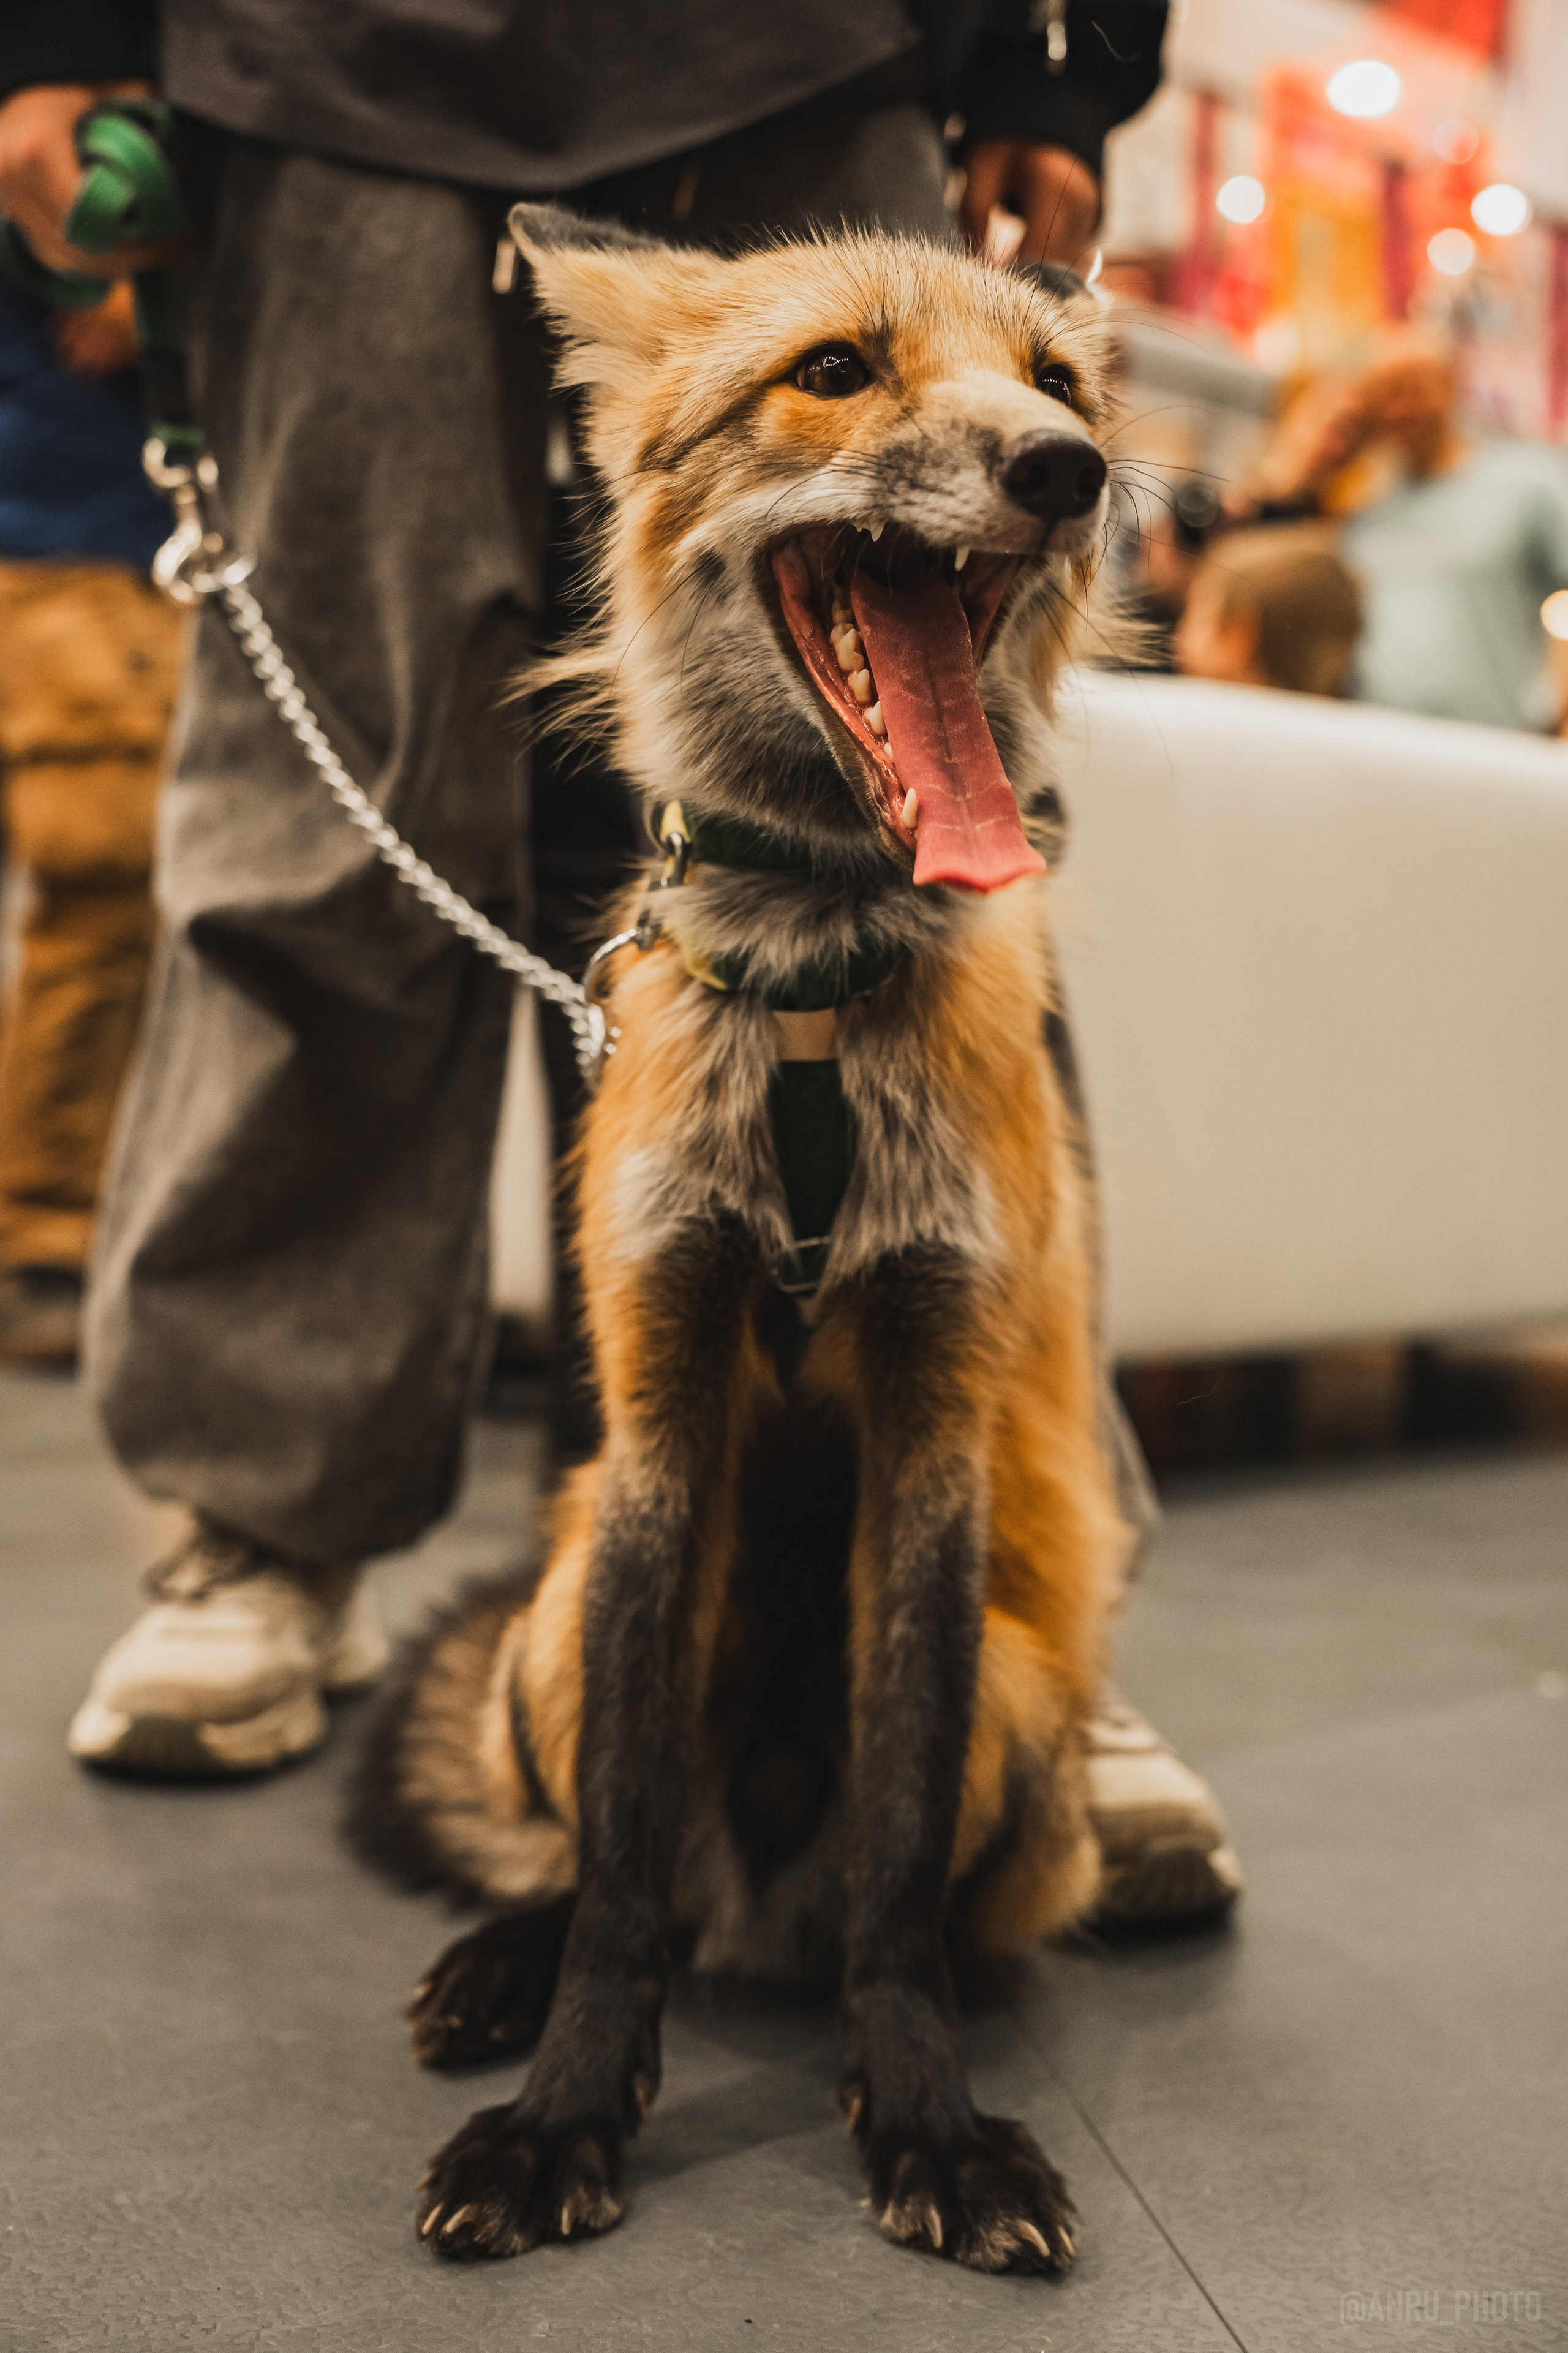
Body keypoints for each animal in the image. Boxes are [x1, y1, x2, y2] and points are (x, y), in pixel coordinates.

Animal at [351, 201, 1133, 2277]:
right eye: (836, 370)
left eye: (1055, 380)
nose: (1073, 471)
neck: (808, 1015)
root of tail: (754, 1898)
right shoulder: (659, 1403)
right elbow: (616, 1871)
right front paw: (560, 2111)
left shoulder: (935, 1433)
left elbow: (896, 1875)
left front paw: (927, 2118)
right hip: (564, 1606)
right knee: (591, 1862)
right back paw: (500, 1965)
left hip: (1022, 1688)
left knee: (903, 1893)